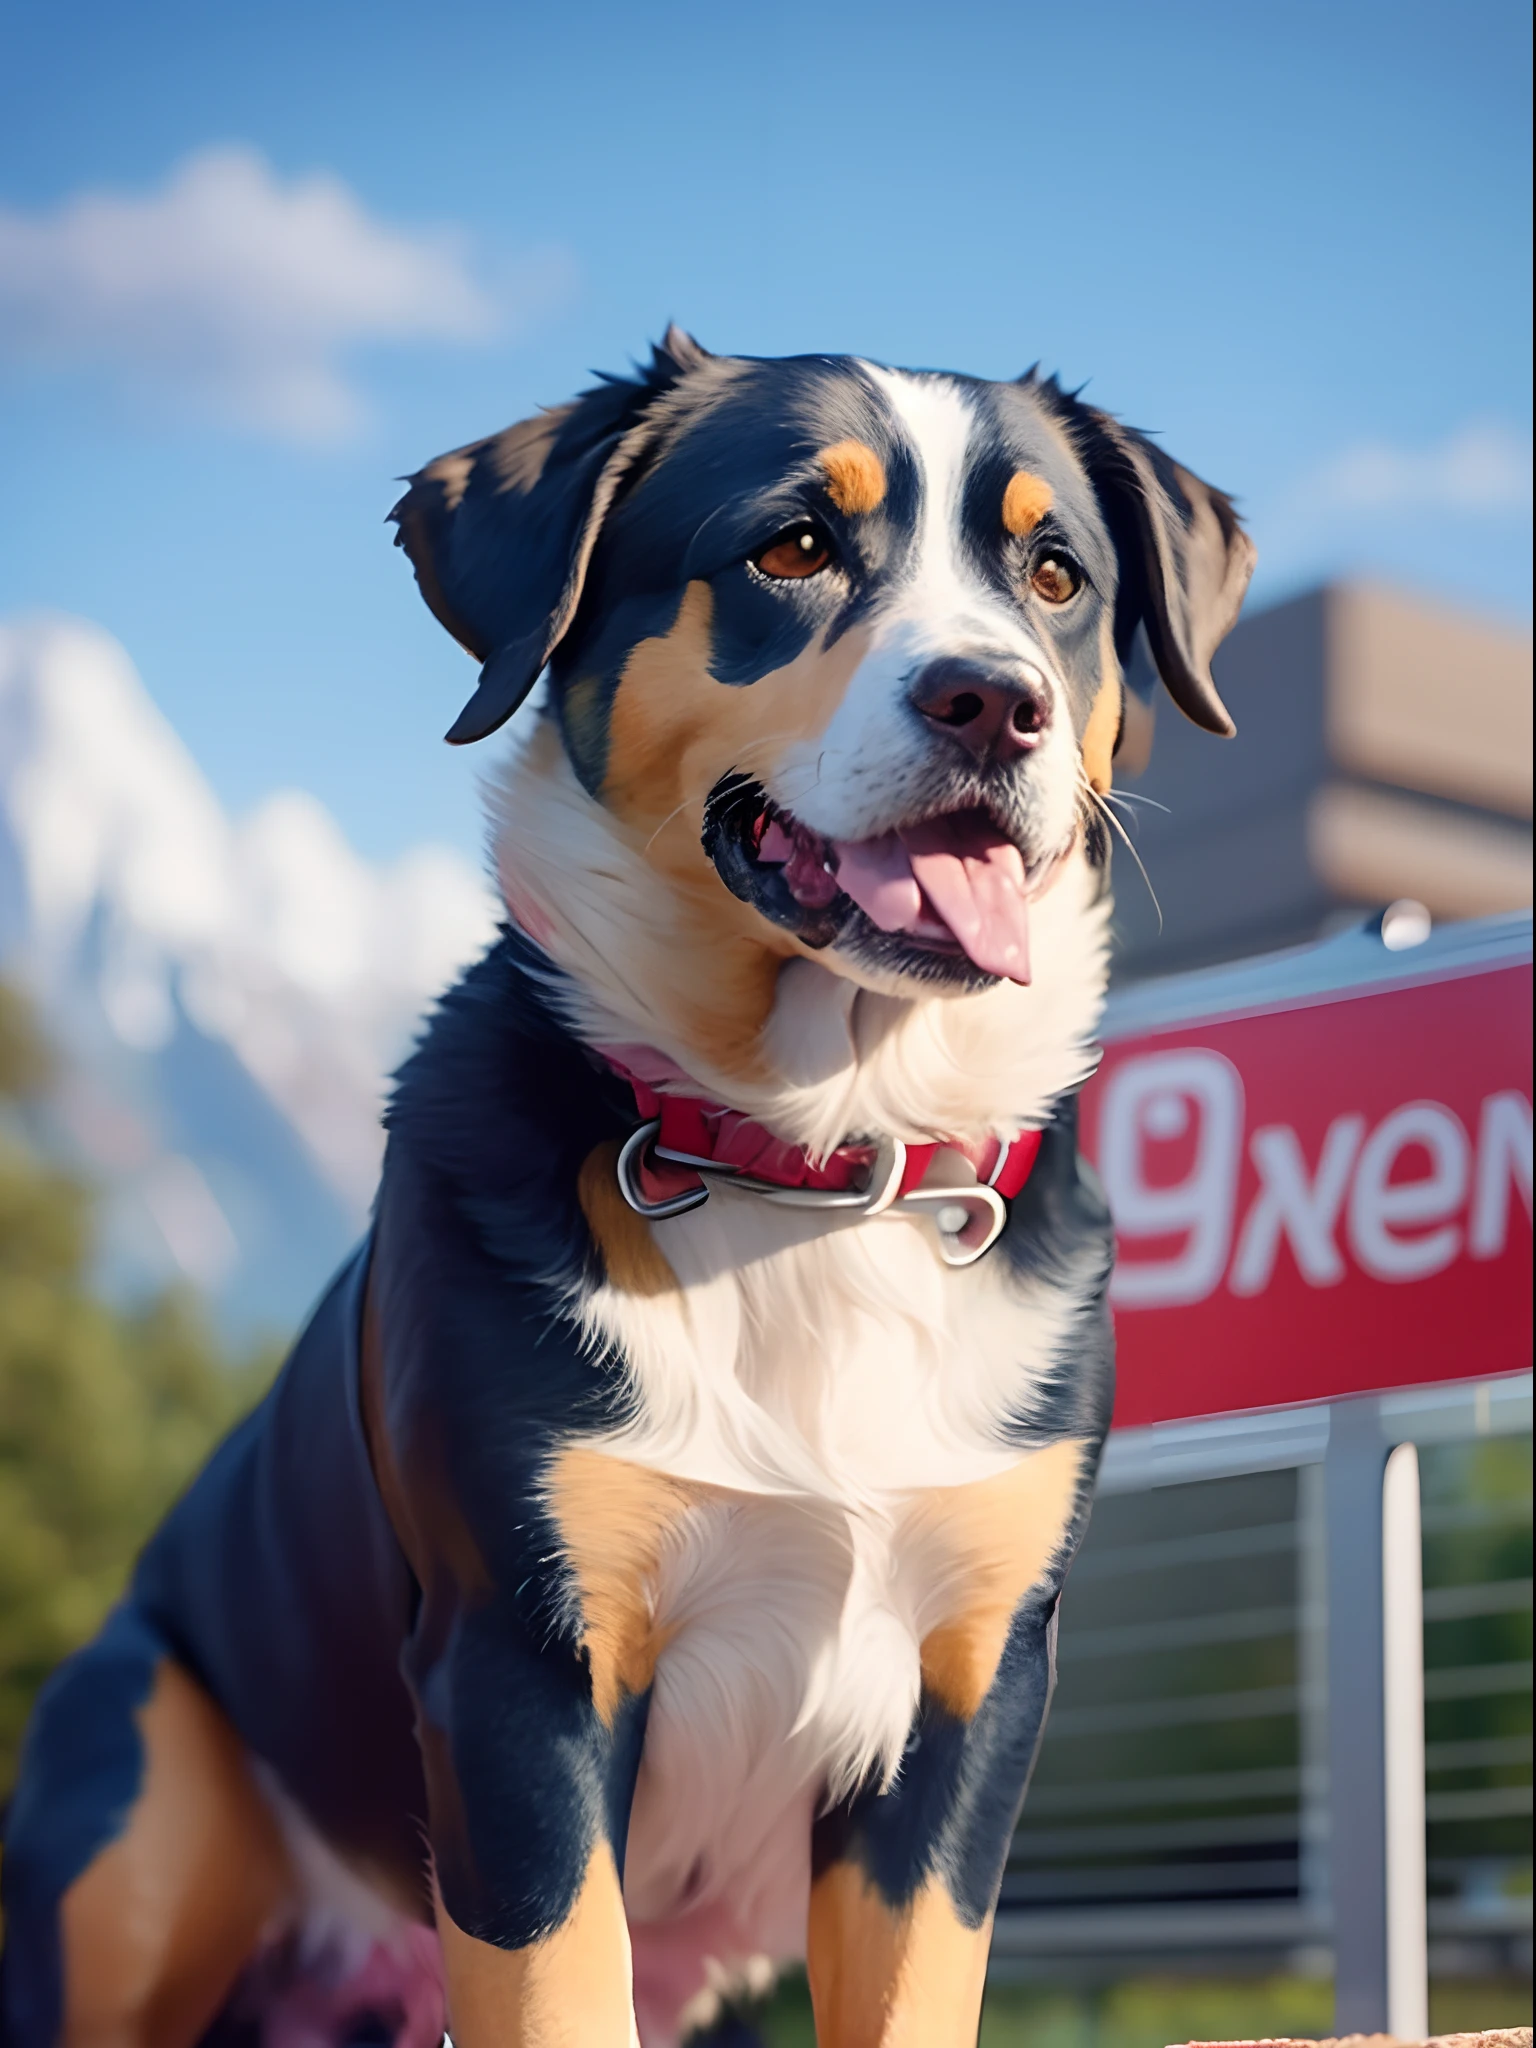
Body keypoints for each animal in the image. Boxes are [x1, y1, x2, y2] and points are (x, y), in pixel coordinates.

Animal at [0, 327, 1253, 2039]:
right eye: (790, 547)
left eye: (1053, 572)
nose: (992, 700)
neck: (814, 1163)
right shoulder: (523, 1667)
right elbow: (555, 1987)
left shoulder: (976, 1684)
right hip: (135, 1792)